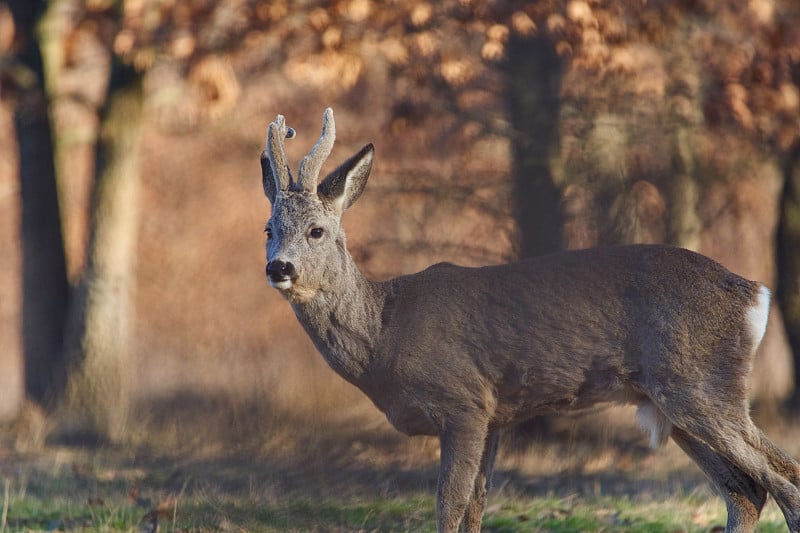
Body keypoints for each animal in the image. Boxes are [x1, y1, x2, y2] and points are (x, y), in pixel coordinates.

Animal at [260, 108, 800, 532]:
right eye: (269, 229)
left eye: (316, 230)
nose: (278, 267)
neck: (385, 333)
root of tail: (753, 292)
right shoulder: (495, 414)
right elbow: (475, 508)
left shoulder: (464, 402)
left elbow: (449, 507)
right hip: (668, 399)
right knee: (746, 490)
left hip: (699, 382)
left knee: (783, 479)